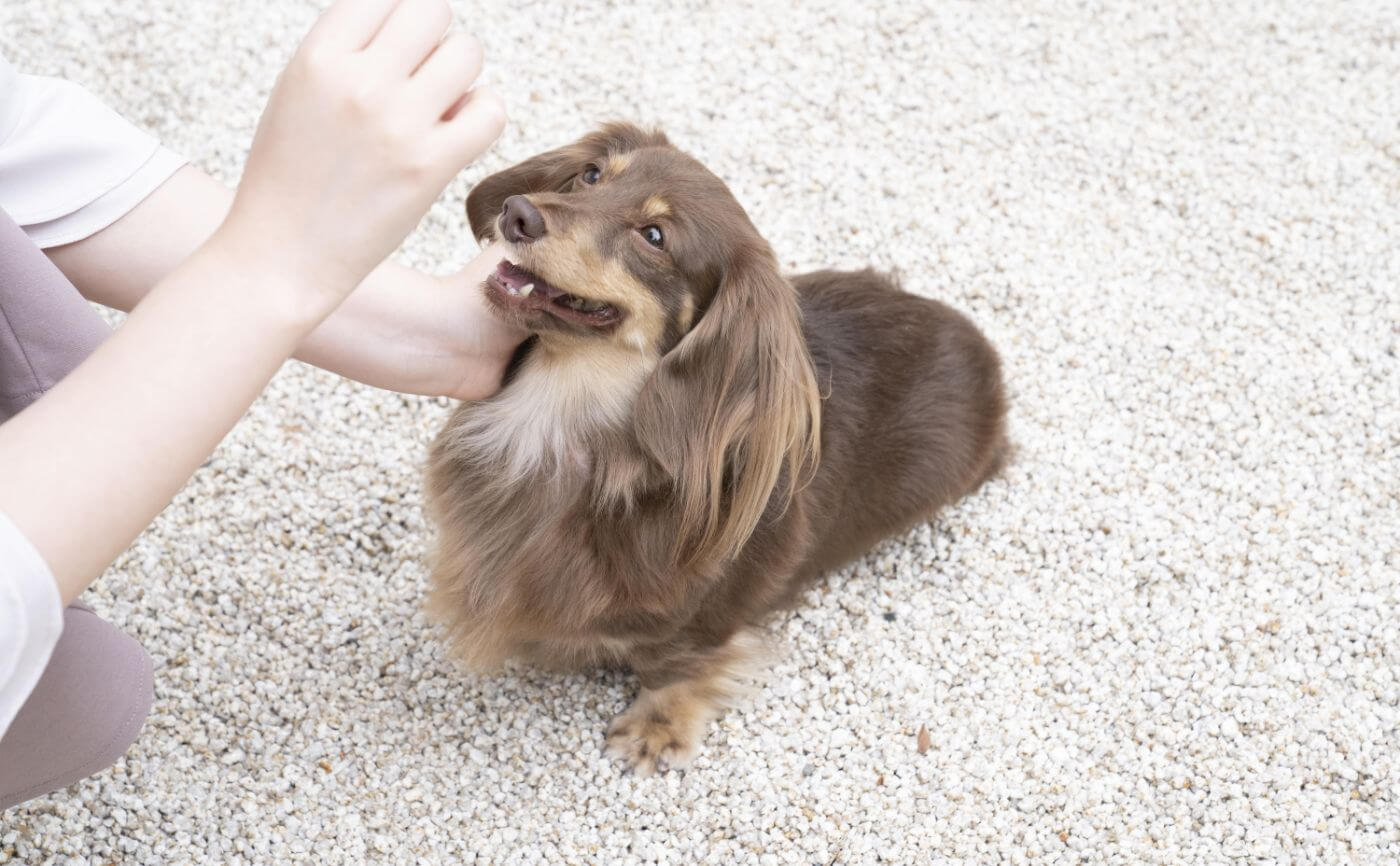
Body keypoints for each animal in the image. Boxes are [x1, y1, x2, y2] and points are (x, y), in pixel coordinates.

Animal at [425, 120, 1008, 772]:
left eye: (654, 236)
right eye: (593, 175)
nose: (517, 213)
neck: (556, 415)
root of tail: (980, 349)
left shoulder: (703, 617)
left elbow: (681, 664)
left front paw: (655, 728)